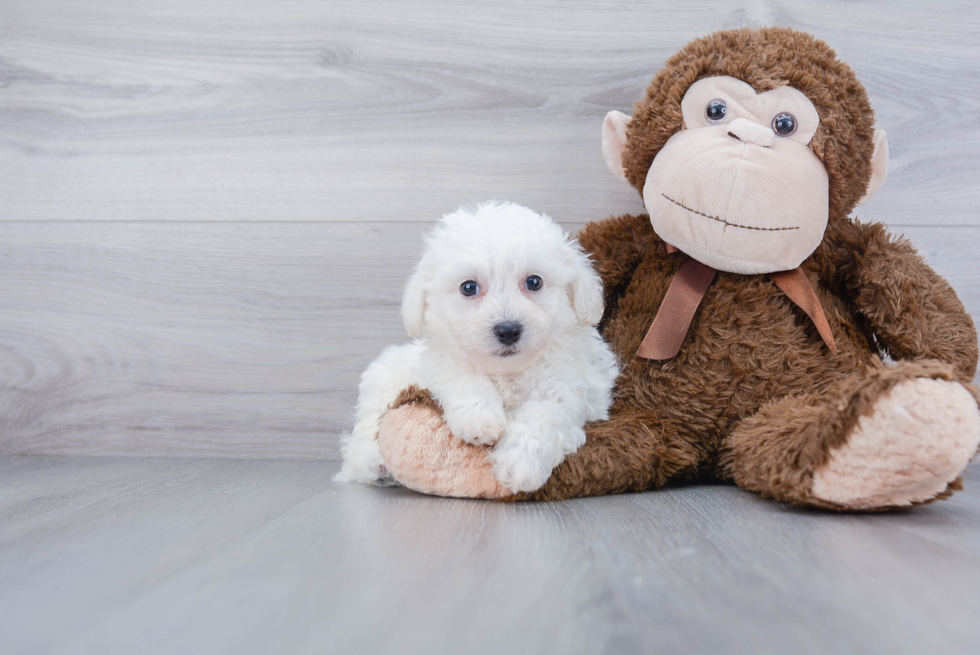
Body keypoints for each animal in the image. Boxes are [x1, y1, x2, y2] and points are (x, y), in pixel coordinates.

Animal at [334, 202, 616, 494]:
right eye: (469, 287)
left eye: (534, 282)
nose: (508, 330)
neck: (507, 371)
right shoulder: (443, 363)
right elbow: (465, 378)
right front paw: (480, 419)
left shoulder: (569, 386)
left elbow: (544, 414)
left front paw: (519, 464)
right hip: (381, 385)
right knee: (365, 432)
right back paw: (372, 463)